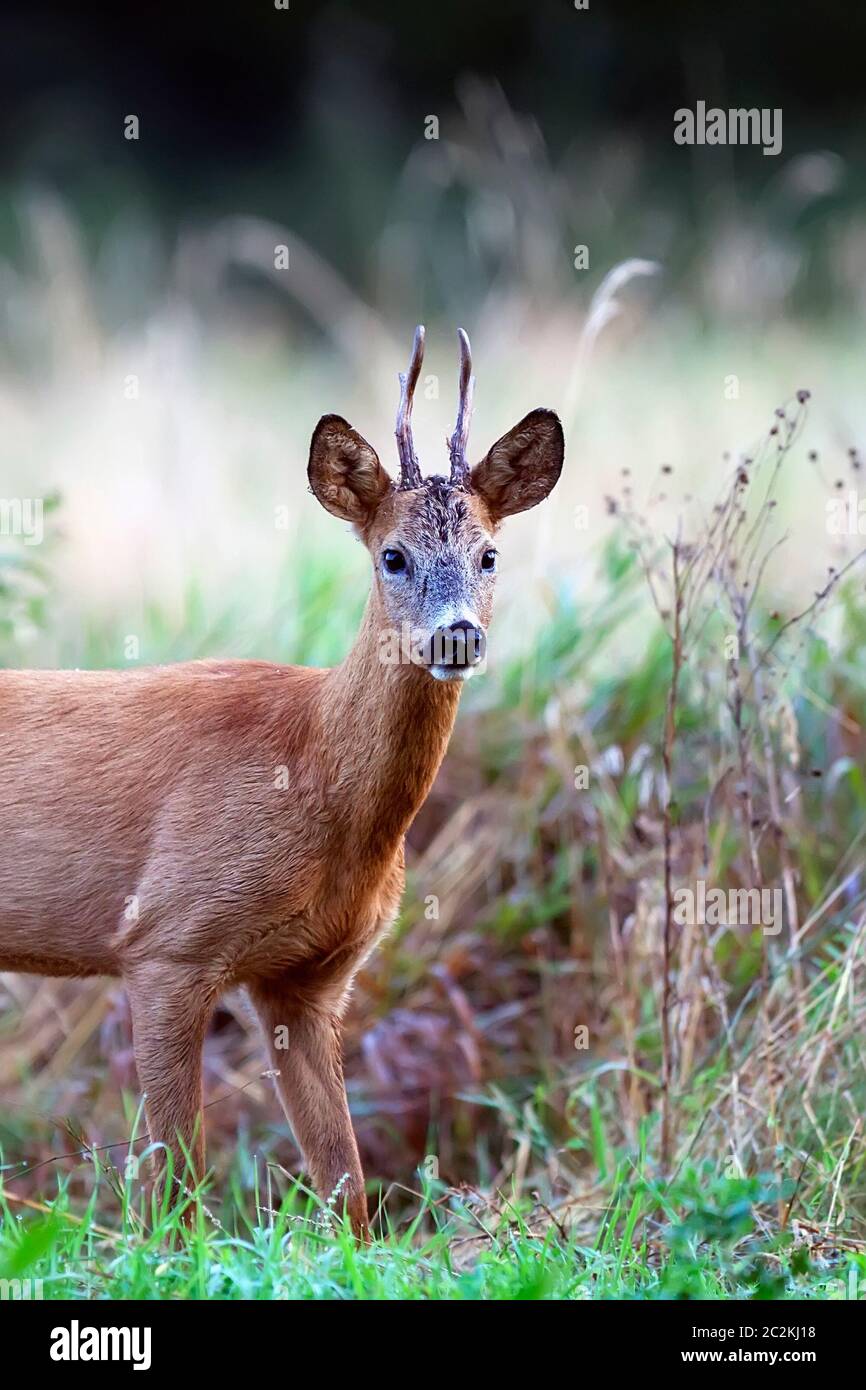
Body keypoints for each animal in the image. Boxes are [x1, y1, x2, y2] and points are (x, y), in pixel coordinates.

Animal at [0, 325, 567, 1239]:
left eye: (490, 554)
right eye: (392, 556)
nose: (456, 636)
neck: (312, 775)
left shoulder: (308, 979)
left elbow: (348, 1188)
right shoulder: (165, 940)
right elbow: (177, 1187)